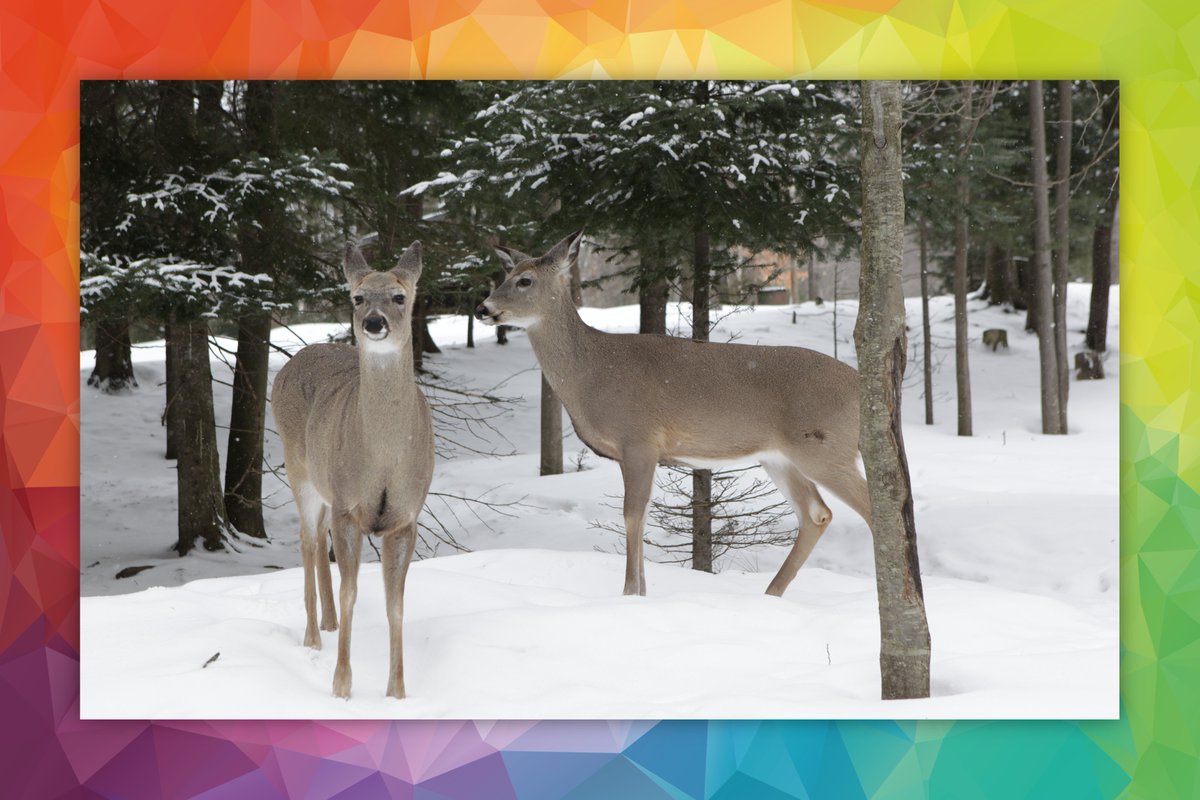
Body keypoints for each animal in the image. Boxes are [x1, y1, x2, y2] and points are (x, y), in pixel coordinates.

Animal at [272, 240, 434, 699]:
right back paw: (313, 635)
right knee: (308, 540)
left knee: (318, 537)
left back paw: (326, 623)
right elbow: (351, 592)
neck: (383, 458)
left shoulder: (405, 517)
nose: (373, 323)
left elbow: (395, 604)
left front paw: (397, 691)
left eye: (399, 296)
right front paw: (341, 685)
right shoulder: (350, 507)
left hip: (328, 485)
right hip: (301, 470)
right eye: (357, 298)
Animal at [475, 231, 872, 598]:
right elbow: (642, 514)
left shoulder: (638, 438)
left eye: (525, 280)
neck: (592, 372)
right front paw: (641, 594)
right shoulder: (636, 451)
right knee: (817, 514)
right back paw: (771, 595)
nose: (482, 308)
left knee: (871, 506)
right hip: (780, 457)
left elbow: (632, 514)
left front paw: (629, 592)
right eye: (506, 274)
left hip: (825, 447)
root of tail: (858, 385)